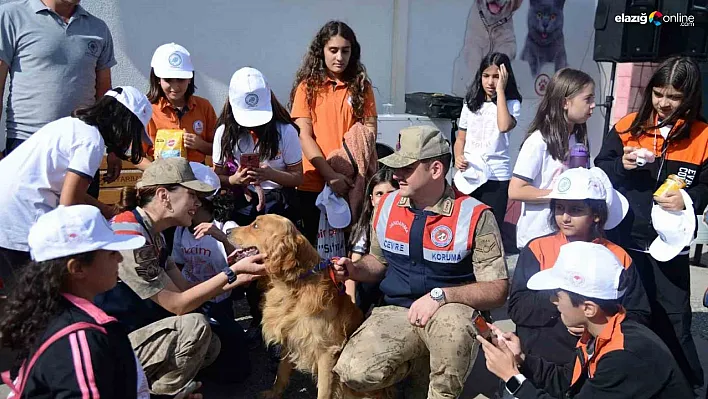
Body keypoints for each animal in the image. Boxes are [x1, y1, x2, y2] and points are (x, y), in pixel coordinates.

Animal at [230, 216, 370, 399]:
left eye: (255, 226)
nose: (227, 230)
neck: (293, 285)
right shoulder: (290, 336)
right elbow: (281, 372)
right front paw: (274, 393)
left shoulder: (327, 351)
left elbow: (323, 391)